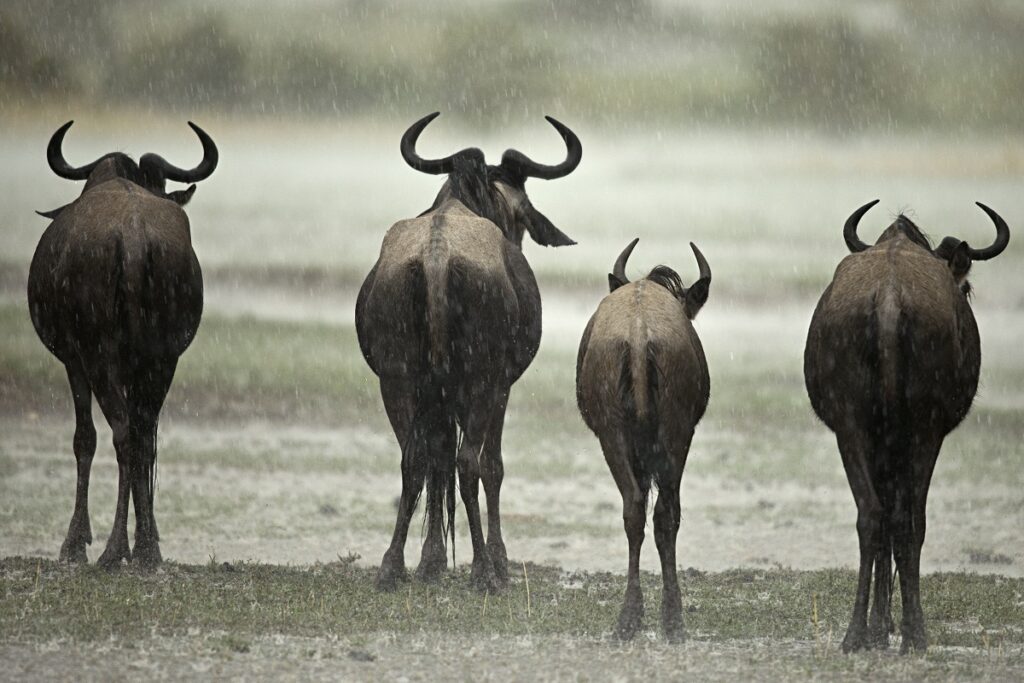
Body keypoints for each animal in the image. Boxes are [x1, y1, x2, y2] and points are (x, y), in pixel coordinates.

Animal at [28, 120, 218, 569]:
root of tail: (131, 239)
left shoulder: (74, 362)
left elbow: (84, 439)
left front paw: (75, 542)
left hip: (101, 356)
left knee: (121, 433)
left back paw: (115, 549)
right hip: (163, 358)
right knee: (144, 434)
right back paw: (146, 547)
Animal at [356, 112, 581, 593]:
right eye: (520, 212)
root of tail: (437, 257)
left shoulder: (434, 397)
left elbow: (435, 462)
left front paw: (431, 560)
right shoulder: (501, 387)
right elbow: (491, 465)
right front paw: (497, 557)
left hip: (397, 380)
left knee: (414, 460)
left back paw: (391, 566)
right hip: (480, 383)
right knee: (469, 463)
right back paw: (484, 571)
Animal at [577, 239, 712, 643]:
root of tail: (639, 334)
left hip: (615, 436)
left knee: (635, 510)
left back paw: (631, 618)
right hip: (674, 435)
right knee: (664, 513)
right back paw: (669, 619)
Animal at [806, 200, 1007, 655]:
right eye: (966, 289)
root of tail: (889, 300)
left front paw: (879, 627)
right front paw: (890, 626)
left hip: (852, 428)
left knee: (872, 515)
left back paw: (856, 633)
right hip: (922, 431)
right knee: (907, 518)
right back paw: (914, 633)